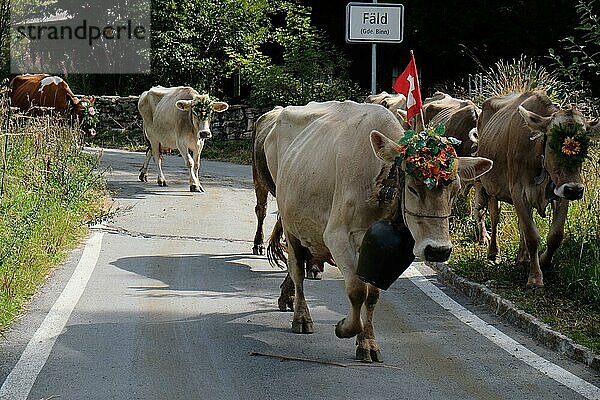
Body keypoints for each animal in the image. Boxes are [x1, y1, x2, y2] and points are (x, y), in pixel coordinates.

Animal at [262, 99, 492, 360]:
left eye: (455, 191)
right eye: (412, 188)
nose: (438, 250)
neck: (378, 178)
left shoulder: (376, 250)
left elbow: (372, 295)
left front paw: (368, 342)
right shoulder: (337, 236)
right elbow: (356, 290)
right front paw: (344, 327)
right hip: (290, 223)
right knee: (297, 270)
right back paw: (301, 316)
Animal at [474, 91, 600, 288]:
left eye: (585, 145)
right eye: (552, 144)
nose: (575, 190)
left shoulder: (560, 191)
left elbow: (555, 235)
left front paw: (543, 262)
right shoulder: (518, 191)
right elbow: (532, 235)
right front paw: (535, 278)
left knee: (521, 223)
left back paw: (522, 258)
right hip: (491, 186)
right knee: (495, 217)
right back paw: (493, 252)